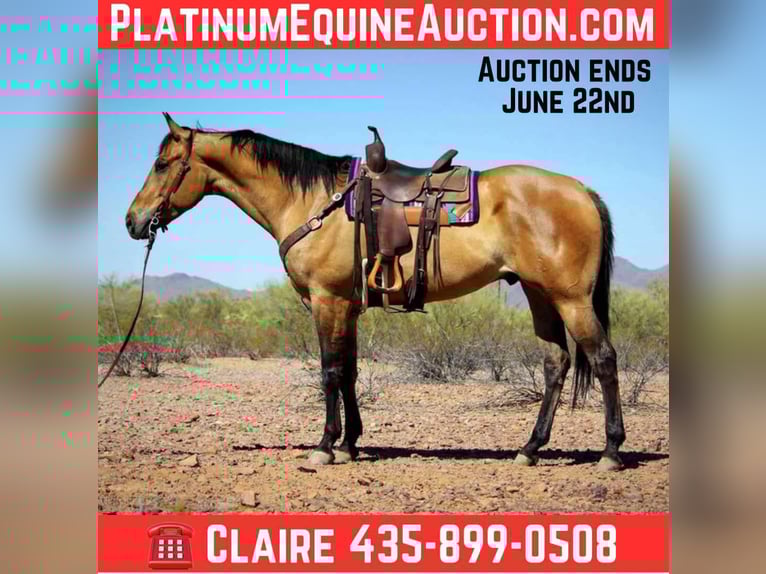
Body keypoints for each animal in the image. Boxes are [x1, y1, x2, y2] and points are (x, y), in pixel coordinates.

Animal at [125, 112, 625, 471]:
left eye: (162, 164)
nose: (132, 221)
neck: (311, 202)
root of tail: (583, 191)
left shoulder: (326, 301)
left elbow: (329, 371)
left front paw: (325, 446)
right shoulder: (346, 306)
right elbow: (348, 371)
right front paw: (350, 443)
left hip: (571, 299)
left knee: (603, 359)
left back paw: (610, 452)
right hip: (541, 295)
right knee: (556, 364)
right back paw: (530, 448)